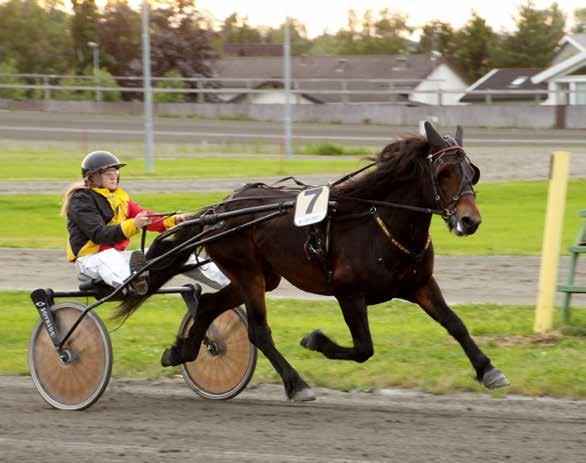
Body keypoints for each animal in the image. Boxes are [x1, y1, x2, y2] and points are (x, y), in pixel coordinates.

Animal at [116, 121, 508, 400]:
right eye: (444, 173)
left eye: (471, 170)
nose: (470, 220)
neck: (377, 221)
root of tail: (219, 209)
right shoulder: (349, 292)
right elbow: (363, 348)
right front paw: (315, 340)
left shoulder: (420, 284)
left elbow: (455, 324)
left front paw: (488, 370)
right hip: (247, 271)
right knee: (258, 331)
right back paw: (296, 384)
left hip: (261, 276)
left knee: (209, 305)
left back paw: (182, 351)